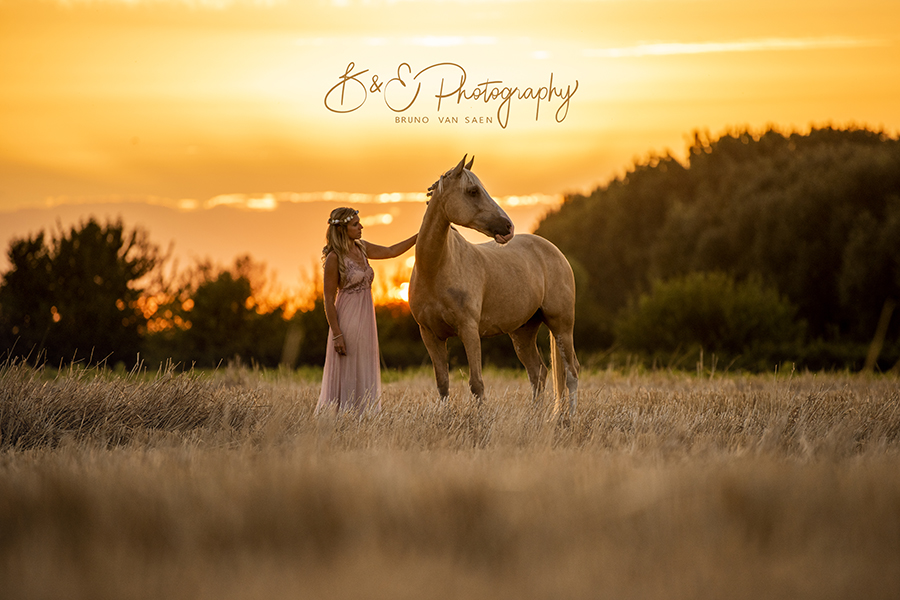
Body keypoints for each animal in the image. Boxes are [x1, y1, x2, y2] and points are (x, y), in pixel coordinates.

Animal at [410, 156, 580, 418]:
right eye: (473, 191)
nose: (508, 228)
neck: (436, 269)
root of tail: (554, 251)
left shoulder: (469, 330)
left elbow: (476, 383)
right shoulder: (430, 334)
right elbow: (443, 384)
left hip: (561, 325)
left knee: (571, 372)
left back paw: (569, 418)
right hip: (523, 332)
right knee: (538, 372)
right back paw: (535, 417)